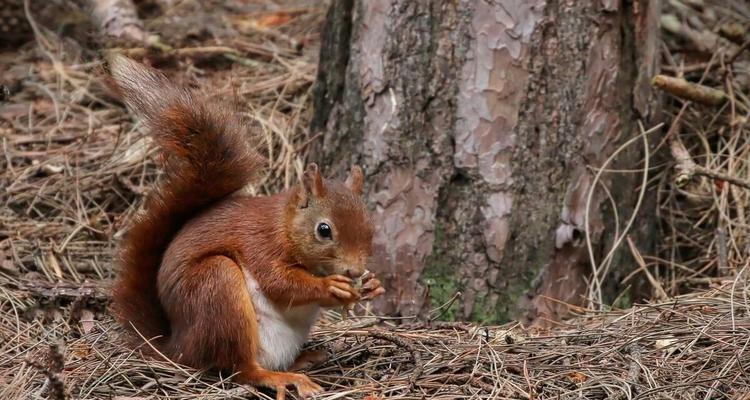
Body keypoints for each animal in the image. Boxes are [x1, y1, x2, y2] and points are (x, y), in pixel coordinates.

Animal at [108, 54, 384, 398]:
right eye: (324, 230)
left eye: (370, 227)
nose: (355, 270)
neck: (285, 226)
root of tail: (178, 349)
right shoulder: (260, 243)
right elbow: (280, 283)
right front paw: (329, 286)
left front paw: (372, 285)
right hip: (217, 287)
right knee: (240, 368)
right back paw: (280, 377)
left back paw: (306, 359)